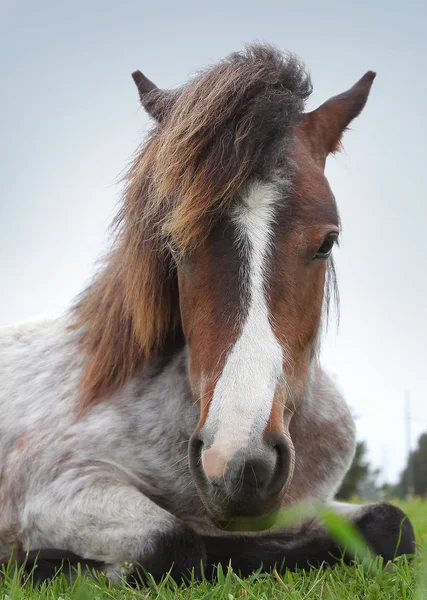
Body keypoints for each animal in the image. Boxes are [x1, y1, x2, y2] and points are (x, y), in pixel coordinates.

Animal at [0, 44, 414, 584]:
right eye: (173, 241)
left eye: (328, 240)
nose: (236, 464)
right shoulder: (53, 483)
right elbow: (174, 543)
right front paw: (48, 563)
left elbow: (393, 525)